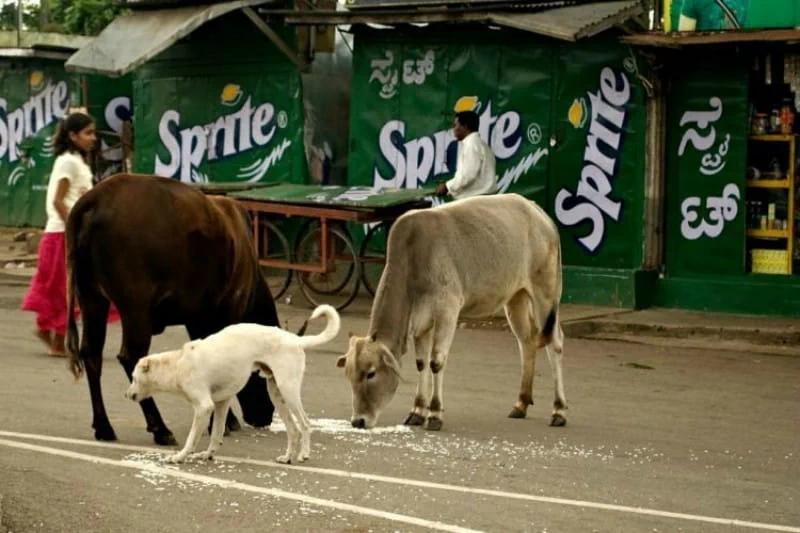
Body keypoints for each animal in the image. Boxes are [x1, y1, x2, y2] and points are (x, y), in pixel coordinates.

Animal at [67, 174, 282, 444]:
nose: (265, 415)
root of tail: (95, 198)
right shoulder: (226, 313)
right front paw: (222, 421)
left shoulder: (198, 319)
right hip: (135, 308)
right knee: (131, 356)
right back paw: (160, 428)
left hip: (91, 297)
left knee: (91, 353)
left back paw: (104, 426)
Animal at [125, 306, 340, 464]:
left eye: (134, 378)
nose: (127, 395)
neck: (178, 364)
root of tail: (295, 339)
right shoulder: (221, 403)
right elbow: (216, 433)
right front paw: (208, 454)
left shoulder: (204, 407)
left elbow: (192, 437)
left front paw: (180, 456)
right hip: (276, 392)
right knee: (293, 430)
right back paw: (287, 457)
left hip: (288, 390)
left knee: (304, 424)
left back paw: (303, 455)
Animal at [334, 193, 564, 430]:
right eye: (349, 375)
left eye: (371, 373)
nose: (358, 421)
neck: (413, 258)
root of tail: (538, 211)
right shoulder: (420, 323)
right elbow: (421, 363)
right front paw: (417, 411)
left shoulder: (447, 311)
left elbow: (436, 362)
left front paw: (435, 414)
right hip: (516, 298)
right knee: (527, 342)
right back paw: (521, 403)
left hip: (545, 294)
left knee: (554, 343)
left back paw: (558, 410)